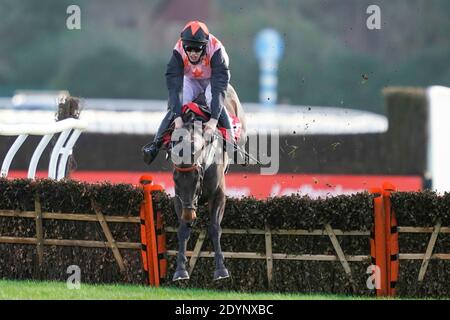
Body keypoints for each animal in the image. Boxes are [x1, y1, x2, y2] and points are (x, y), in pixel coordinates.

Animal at [169, 84, 246, 280]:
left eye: (198, 178)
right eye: (175, 179)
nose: (190, 215)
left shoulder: (218, 193)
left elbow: (214, 228)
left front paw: (221, 269)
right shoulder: (179, 198)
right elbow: (182, 229)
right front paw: (180, 270)